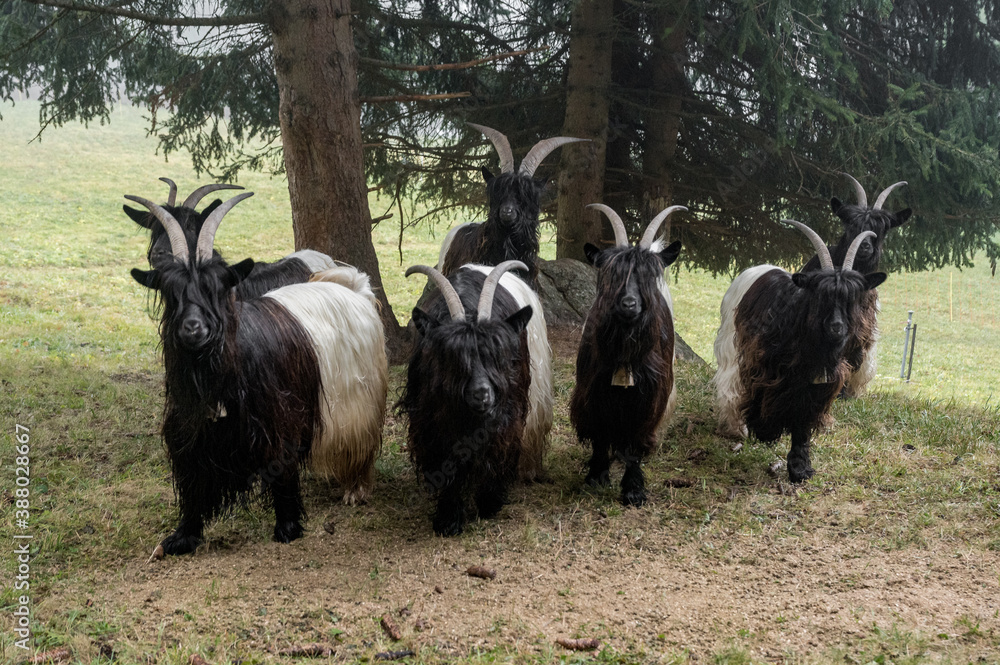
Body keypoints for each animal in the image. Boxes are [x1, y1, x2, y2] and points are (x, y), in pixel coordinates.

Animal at [129, 192, 387, 555]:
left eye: (217, 289)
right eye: (170, 291)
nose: (193, 328)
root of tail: (355, 287)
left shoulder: (279, 418)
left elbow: (281, 467)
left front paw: (288, 527)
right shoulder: (191, 428)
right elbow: (194, 480)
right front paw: (183, 536)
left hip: (358, 394)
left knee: (362, 437)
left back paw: (355, 488)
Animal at [398, 261, 534, 536]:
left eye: (495, 354)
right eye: (453, 356)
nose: (482, 394)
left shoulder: (505, 417)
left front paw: (490, 503)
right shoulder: (431, 424)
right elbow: (446, 462)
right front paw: (448, 519)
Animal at [570, 204, 684, 506]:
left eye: (648, 276)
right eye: (613, 274)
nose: (629, 303)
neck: (625, 357)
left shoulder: (648, 398)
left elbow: (634, 443)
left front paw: (633, 490)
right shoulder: (593, 392)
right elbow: (599, 435)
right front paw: (596, 476)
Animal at [713, 222, 885, 482]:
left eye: (851, 298)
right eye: (820, 295)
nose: (837, 327)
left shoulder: (816, 385)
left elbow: (802, 422)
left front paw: (799, 467)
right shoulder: (763, 367)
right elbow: (760, 399)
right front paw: (764, 431)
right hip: (730, 343)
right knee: (729, 384)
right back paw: (737, 427)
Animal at [800, 174, 911, 397]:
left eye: (881, 229)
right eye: (852, 224)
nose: (865, 247)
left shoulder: (861, 332)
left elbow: (851, 359)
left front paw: (841, 393)